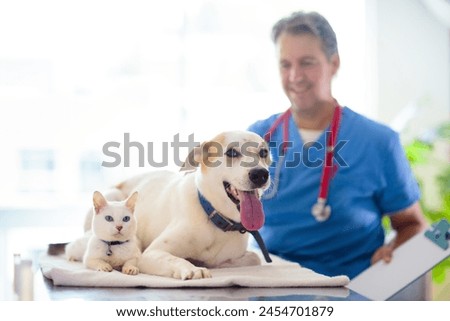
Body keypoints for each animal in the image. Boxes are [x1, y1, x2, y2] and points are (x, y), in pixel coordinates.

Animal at [84, 129, 270, 278]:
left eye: (263, 152)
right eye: (231, 152)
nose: (260, 174)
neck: (212, 215)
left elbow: (254, 258)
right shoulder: (151, 254)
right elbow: (174, 259)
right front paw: (193, 268)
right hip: (112, 196)